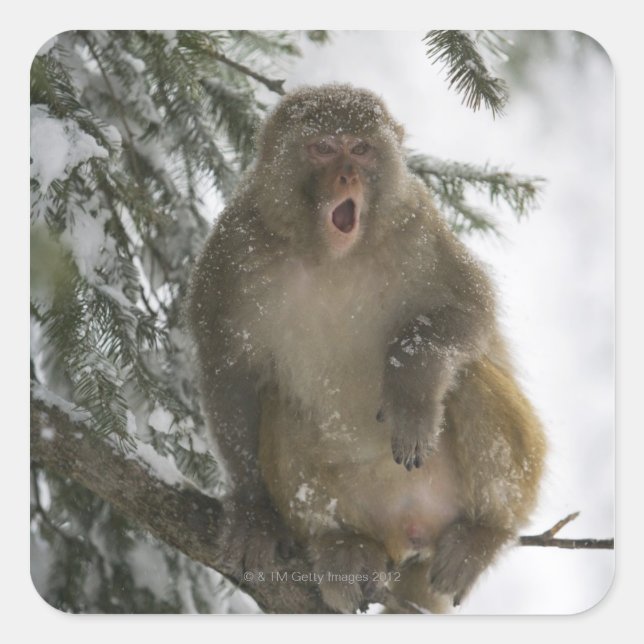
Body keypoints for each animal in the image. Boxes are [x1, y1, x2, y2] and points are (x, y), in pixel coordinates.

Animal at [186, 84, 546, 613]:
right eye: (322, 147)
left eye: (360, 148)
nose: (347, 175)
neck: (331, 257)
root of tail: (410, 527)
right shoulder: (232, 252)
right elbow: (231, 373)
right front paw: (254, 511)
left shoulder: (417, 226)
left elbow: (470, 310)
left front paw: (410, 387)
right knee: (282, 403)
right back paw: (341, 544)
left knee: (467, 377)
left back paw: (483, 532)